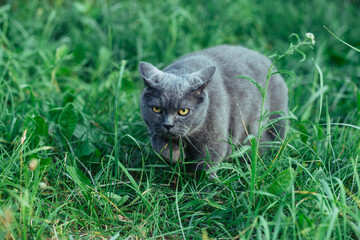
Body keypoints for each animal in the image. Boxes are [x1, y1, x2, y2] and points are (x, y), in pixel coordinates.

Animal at [139, 45, 288, 176]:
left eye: (183, 111)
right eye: (156, 109)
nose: (168, 125)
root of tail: (267, 60)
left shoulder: (215, 141)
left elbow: (206, 167)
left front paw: (203, 186)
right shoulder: (154, 131)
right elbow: (160, 147)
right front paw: (177, 156)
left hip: (275, 121)